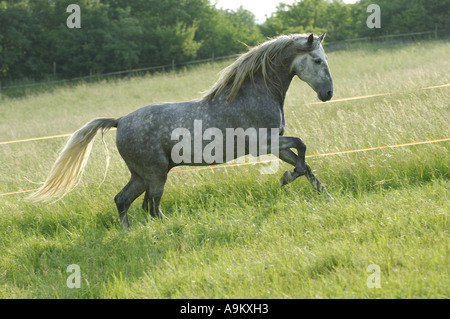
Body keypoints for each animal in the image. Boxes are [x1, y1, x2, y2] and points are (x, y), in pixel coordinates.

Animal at [29, 33, 334, 230]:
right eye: (318, 60)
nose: (328, 94)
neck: (254, 93)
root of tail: (120, 120)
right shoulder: (265, 143)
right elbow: (302, 147)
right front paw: (285, 178)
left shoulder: (276, 144)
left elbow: (305, 165)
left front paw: (326, 196)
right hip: (155, 173)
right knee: (149, 207)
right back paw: (167, 227)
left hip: (142, 175)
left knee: (124, 200)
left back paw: (128, 233)